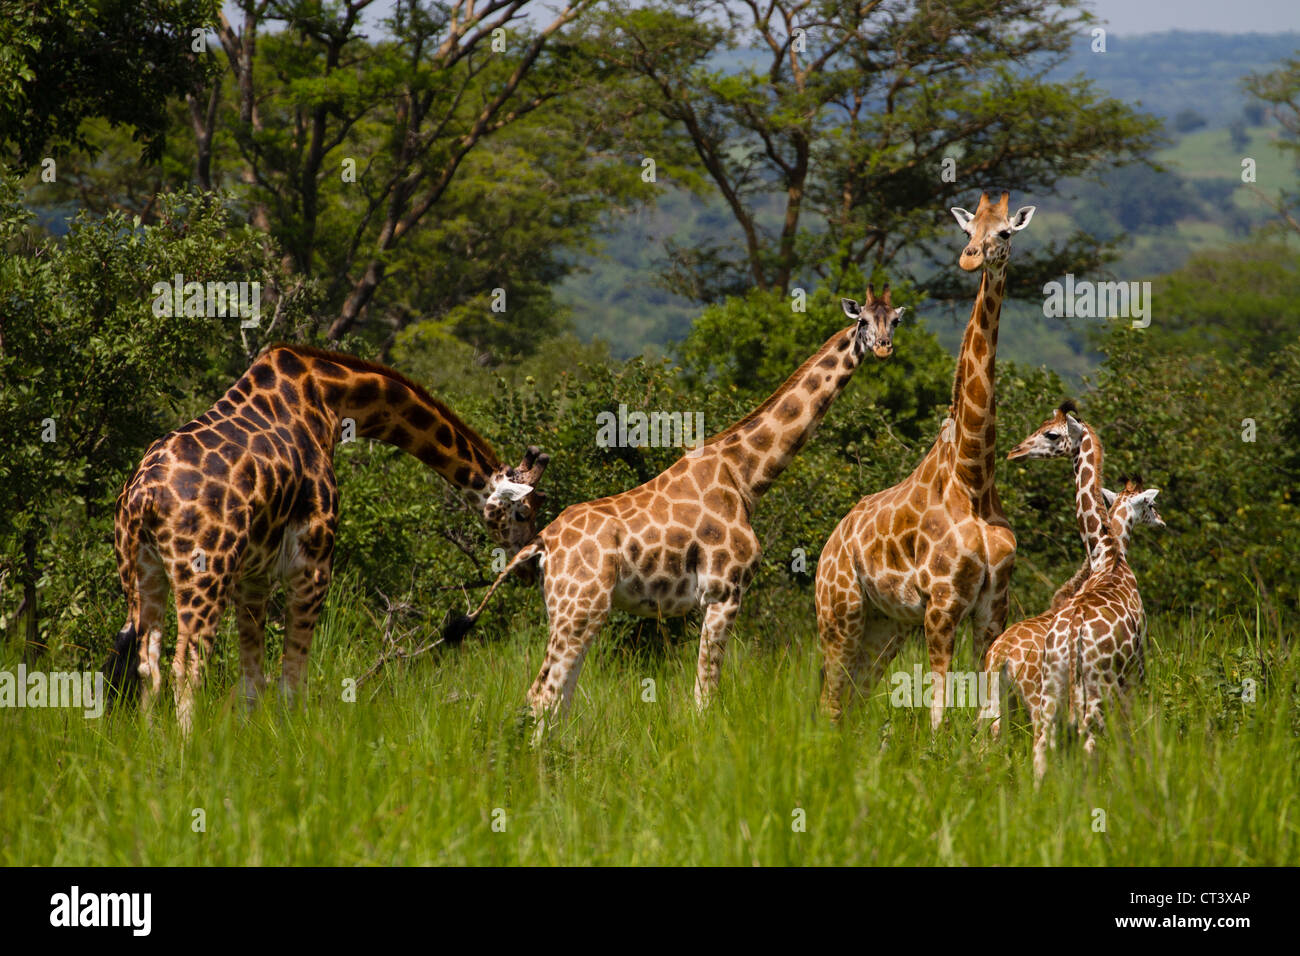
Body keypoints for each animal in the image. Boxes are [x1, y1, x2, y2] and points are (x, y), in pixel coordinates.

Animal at [104, 343, 546, 733]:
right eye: (523, 512)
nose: (528, 569)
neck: (333, 397)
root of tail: (143, 497)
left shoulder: (255, 575)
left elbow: (253, 681)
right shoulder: (312, 564)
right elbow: (291, 682)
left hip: (142, 574)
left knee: (148, 666)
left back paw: (155, 747)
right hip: (204, 572)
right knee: (188, 666)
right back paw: (187, 751)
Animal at [447, 283, 904, 733]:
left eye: (894, 321)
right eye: (863, 321)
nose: (884, 348)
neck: (745, 477)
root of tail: (540, 544)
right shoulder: (724, 592)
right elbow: (705, 697)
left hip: (572, 610)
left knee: (554, 699)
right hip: (580, 608)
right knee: (541, 696)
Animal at [811, 192, 1034, 723]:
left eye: (1004, 232)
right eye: (967, 231)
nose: (970, 258)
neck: (973, 477)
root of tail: (828, 546)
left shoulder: (993, 605)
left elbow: (986, 702)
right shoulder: (942, 603)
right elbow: (938, 704)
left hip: (885, 623)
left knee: (853, 696)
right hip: (840, 612)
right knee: (831, 700)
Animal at [977, 476, 1170, 738]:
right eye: (1151, 504)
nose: (1162, 521)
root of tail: (1000, 656)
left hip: (996, 692)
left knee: (988, 729)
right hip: (1041, 691)